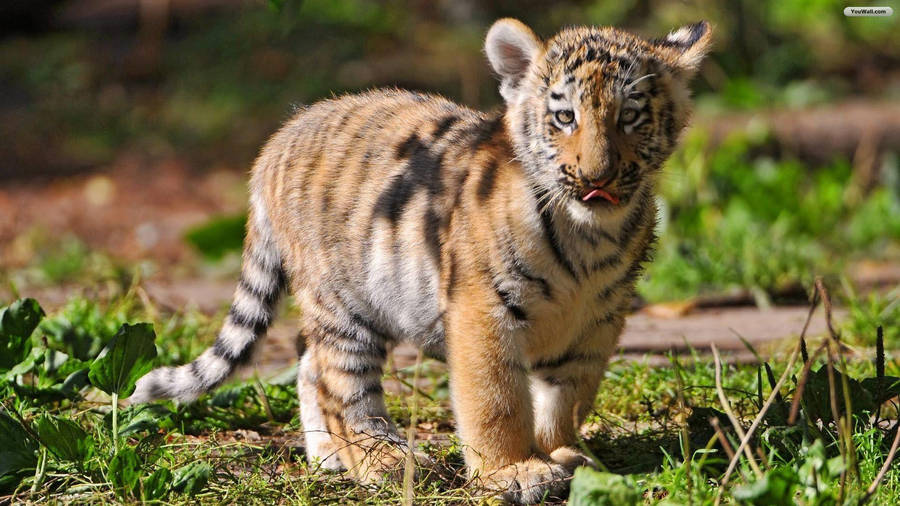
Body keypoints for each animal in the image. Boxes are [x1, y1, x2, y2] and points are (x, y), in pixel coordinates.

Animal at [130, 18, 711, 503]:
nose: (597, 177)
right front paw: (512, 471)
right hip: (344, 305)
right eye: (564, 117)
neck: (590, 235)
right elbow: (496, 398)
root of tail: (277, 140)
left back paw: (329, 457)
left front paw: (564, 453)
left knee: (308, 364)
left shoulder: (598, 319)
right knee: (341, 385)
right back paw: (383, 461)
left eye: (630, 117)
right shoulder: (483, 308)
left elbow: (568, 395)